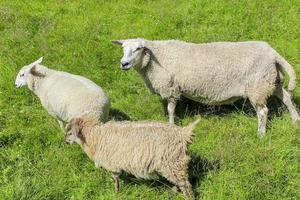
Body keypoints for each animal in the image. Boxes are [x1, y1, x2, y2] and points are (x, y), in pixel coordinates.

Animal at [64, 116, 200, 198]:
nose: (65, 142)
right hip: (174, 163)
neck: (95, 136)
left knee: (186, 184)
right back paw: (173, 190)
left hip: (172, 161)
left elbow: (115, 179)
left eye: (69, 133)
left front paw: (116, 193)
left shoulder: (112, 163)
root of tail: (183, 133)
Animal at [113, 38, 300, 137]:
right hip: (270, 80)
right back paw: (295, 120)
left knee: (262, 111)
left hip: (257, 86)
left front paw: (171, 125)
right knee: (287, 98)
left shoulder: (171, 88)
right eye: (123, 48)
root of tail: (272, 53)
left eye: (138, 48)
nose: (123, 64)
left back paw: (261, 134)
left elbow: (171, 109)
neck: (156, 57)